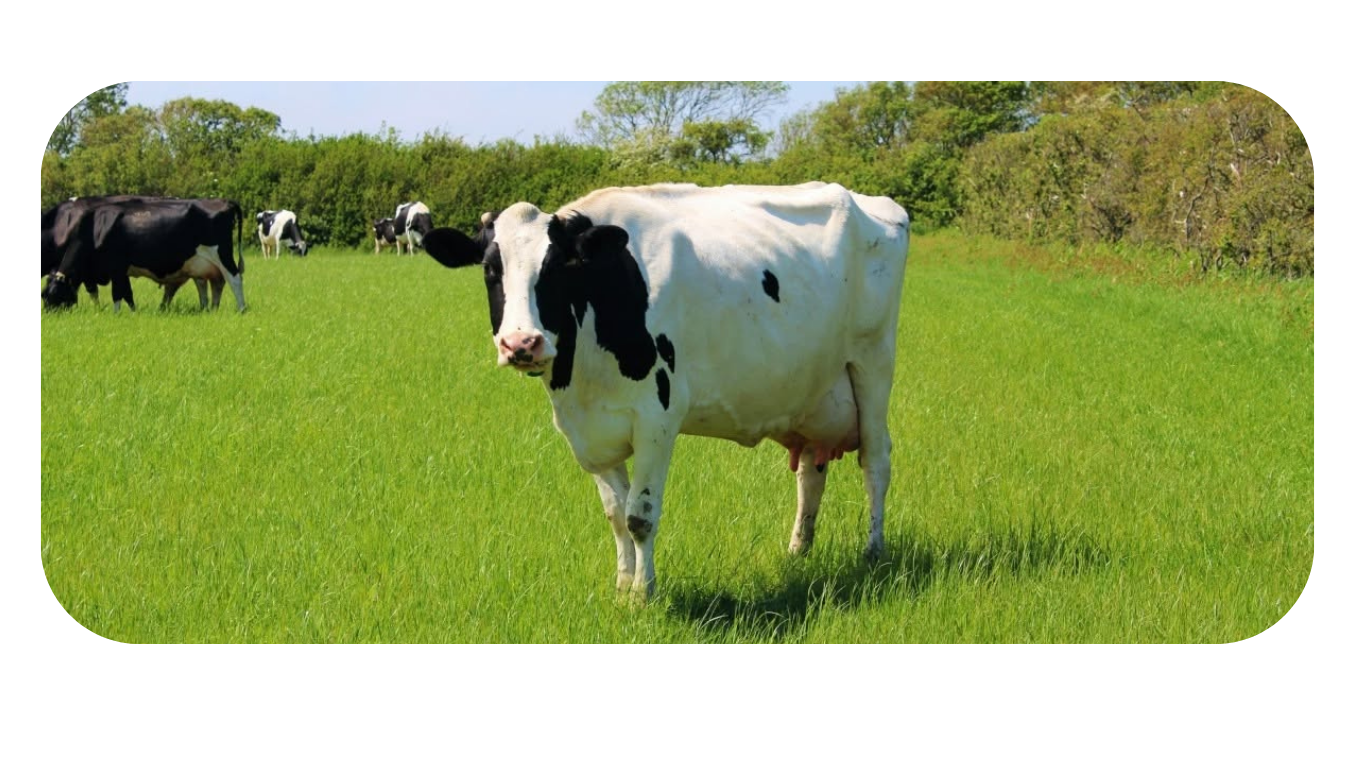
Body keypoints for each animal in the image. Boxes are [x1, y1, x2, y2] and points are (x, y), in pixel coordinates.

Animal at [41, 197, 247, 313]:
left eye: (53, 295)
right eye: (43, 295)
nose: (48, 315)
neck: (95, 227)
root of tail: (224, 201)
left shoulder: (116, 267)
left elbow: (117, 294)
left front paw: (116, 314)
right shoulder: (120, 271)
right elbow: (128, 294)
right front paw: (133, 312)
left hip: (222, 255)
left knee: (235, 279)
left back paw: (241, 309)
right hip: (202, 265)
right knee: (214, 284)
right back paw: (210, 309)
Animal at [421, 182, 911, 603]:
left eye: (557, 269)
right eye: (490, 269)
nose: (521, 344)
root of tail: (877, 203)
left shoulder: (657, 419)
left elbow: (640, 515)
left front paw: (644, 594)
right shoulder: (587, 429)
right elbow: (615, 515)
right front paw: (622, 587)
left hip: (873, 362)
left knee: (877, 462)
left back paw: (873, 553)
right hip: (811, 390)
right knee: (811, 471)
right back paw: (798, 551)